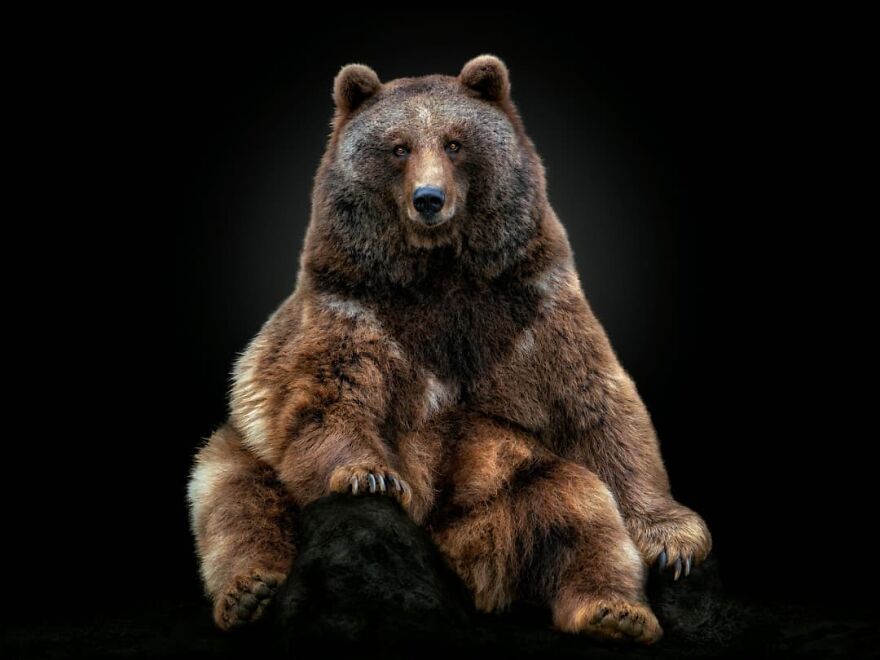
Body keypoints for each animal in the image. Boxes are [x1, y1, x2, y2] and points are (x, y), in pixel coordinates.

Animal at [186, 55, 711, 645]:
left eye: (455, 142)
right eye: (398, 148)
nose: (429, 199)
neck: (439, 273)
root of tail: (468, 566)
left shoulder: (531, 306)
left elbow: (598, 405)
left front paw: (674, 540)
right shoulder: (352, 306)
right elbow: (328, 396)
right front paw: (370, 475)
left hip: (511, 490)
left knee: (575, 506)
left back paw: (614, 612)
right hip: (240, 449)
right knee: (236, 500)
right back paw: (248, 591)